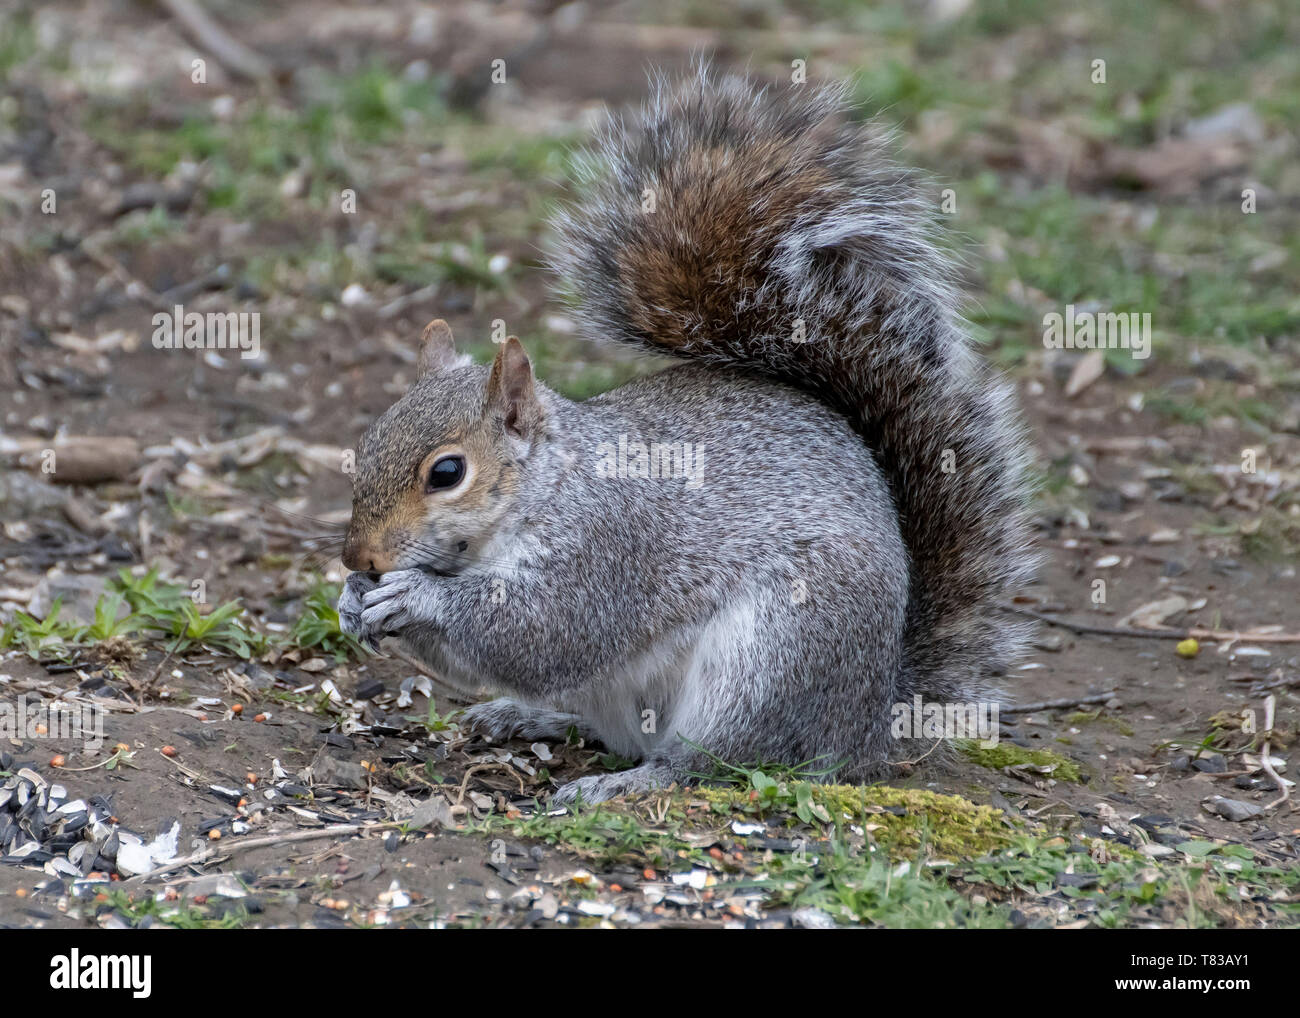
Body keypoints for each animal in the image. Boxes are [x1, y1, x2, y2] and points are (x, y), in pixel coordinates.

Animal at [337, 65, 1036, 804]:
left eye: (447, 473)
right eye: (369, 443)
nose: (358, 556)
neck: (547, 487)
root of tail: (866, 724)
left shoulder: (610, 546)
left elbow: (544, 633)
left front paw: (415, 596)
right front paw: (354, 601)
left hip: (772, 656)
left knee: (715, 760)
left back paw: (624, 782)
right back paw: (525, 716)